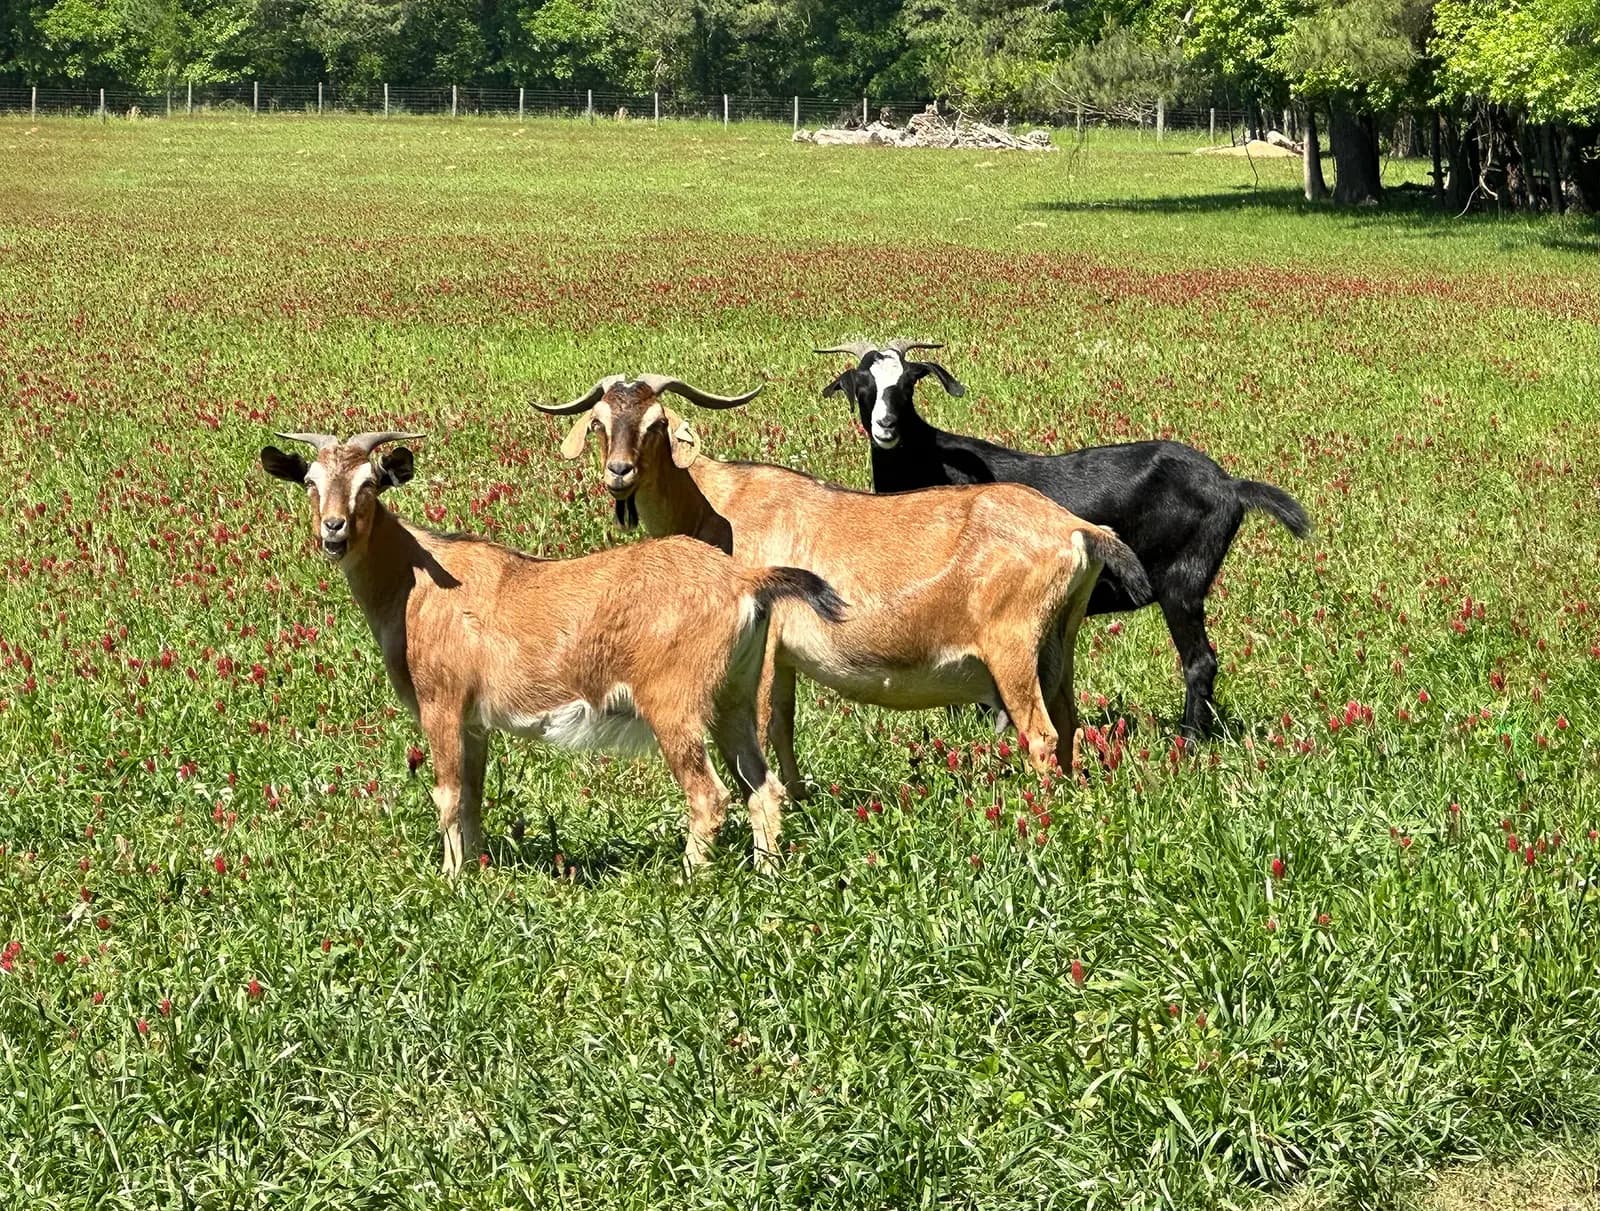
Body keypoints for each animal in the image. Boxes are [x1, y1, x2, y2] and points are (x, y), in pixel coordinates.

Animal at [259, 430, 845, 876]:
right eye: (311, 482)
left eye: (370, 483)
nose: (333, 529)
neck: (415, 584)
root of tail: (745, 580)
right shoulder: (474, 719)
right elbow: (472, 795)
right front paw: (476, 868)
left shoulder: (441, 703)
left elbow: (447, 795)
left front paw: (450, 881)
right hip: (734, 696)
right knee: (762, 788)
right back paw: (767, 873)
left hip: (674, 700)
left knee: (709, 795)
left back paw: (691, 878)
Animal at [535, 375, 1151, 795]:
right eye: (599, 422)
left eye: (657, 423)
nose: (618, 473)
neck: (720, 508)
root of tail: (1077, 529)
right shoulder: (782, 654)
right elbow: (783, 724)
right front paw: (800, 799)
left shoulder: (762, 646)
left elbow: (762, 726)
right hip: (1058, 640)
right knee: (1067, 724)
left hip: (1012, 643)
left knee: (1042, 734)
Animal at [816, 340, 1312, 738]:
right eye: (861, 384)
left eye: (907, 385)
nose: (886, 427)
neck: (928, 463)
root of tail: (1231, 486)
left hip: (1182, 582)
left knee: (1200, 662)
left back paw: (1190, 741)